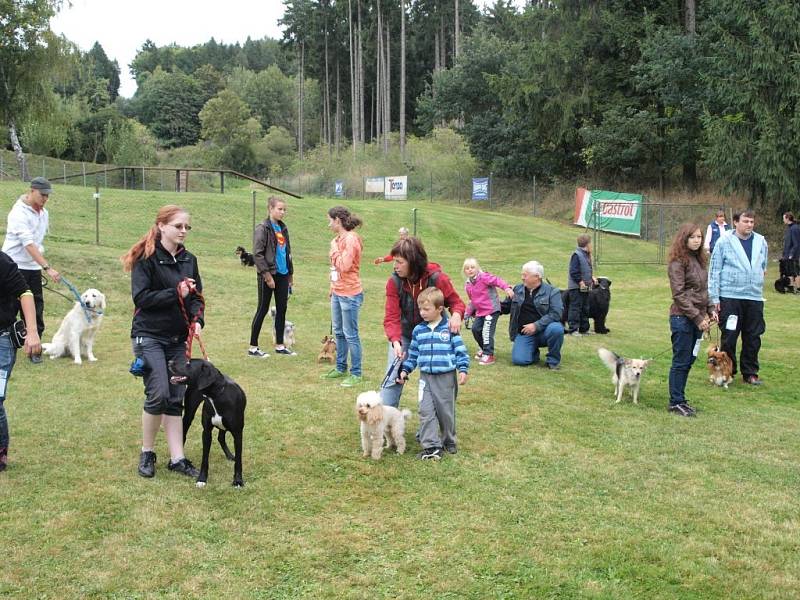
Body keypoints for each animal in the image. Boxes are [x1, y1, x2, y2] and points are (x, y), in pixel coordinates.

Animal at [167, 358, 245, 486]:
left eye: (188, 363)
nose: (169, 362)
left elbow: (238, 460)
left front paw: (238, 481)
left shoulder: (238, 433)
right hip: (189, 414)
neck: (217, 395)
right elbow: (205, 458)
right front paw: (202, 479)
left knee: (221, 437)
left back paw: (229, 455)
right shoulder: (206, 432)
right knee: (183, 435)